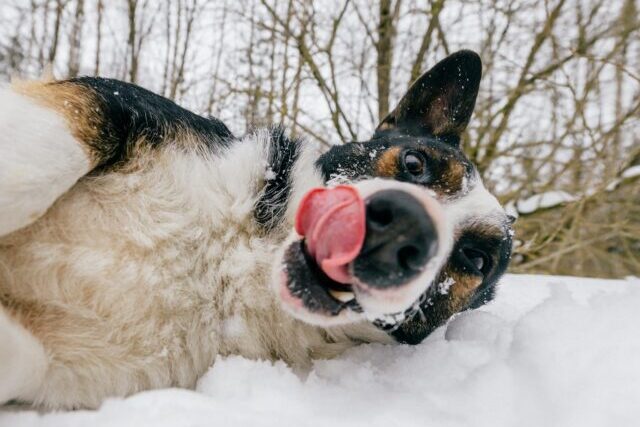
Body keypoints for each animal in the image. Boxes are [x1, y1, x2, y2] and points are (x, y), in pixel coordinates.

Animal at [0, 51, 512, 412]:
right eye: (415, 163)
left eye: (475, 259)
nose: (404, 228)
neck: (238, 266)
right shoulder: (106, 103)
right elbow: (37, 168)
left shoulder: (59, 368)